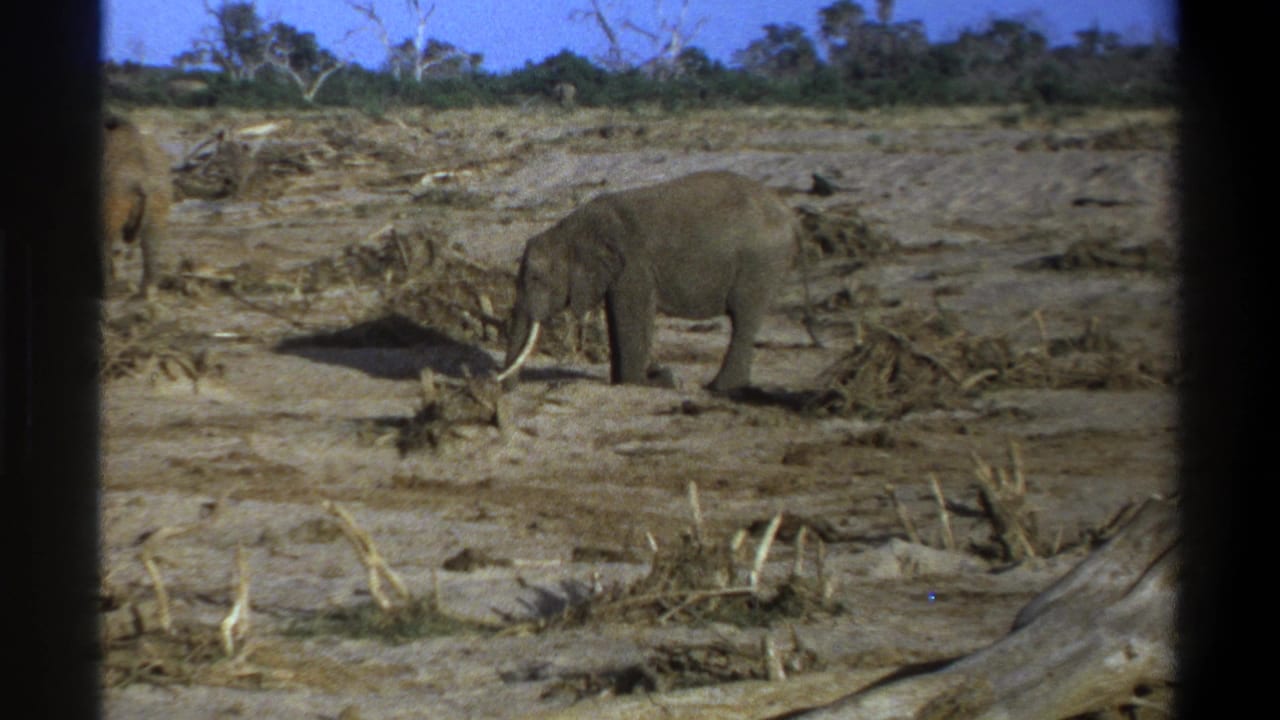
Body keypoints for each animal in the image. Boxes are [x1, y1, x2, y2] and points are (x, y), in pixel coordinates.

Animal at [497, 171, 811, 393]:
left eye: (536, 278)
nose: (506, 388)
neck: (571, 229)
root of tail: (791, 216)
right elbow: (617, 317)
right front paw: (626, 381)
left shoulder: (634, 264)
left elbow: (634, 316)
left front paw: (649, 382)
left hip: (761, 263)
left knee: (744, 319)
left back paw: (718, 388)